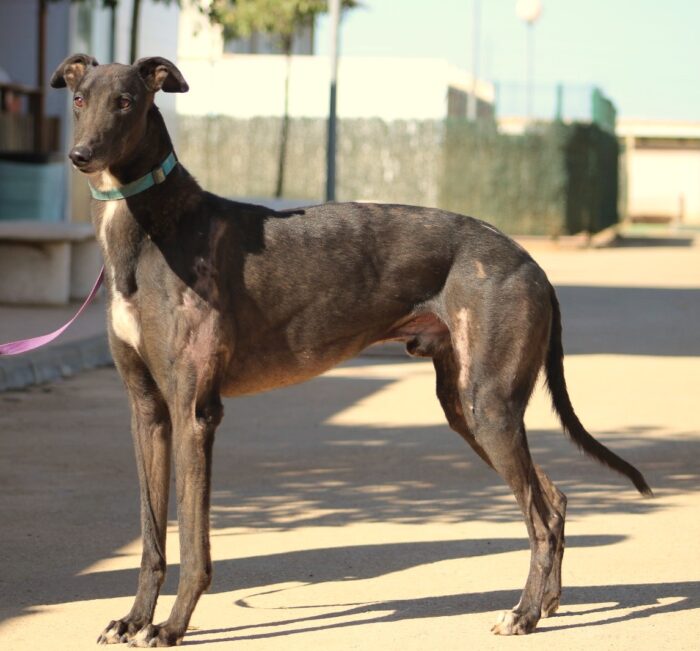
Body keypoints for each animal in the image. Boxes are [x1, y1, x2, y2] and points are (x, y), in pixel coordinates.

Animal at [50, 54, 651, 647]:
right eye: (79, 98)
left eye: (126, 101)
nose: (80, 155)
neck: (153, 229)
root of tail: (533, 264)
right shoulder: (148, 411)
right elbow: (152, 537)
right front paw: (134, 619)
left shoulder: (194, 411)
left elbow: (193, 542)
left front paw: (171, 627)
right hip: (468, 409)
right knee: (555, 500)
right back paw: (546, 603)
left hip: (490, 407)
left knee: (540, 516)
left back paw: (522, 614)